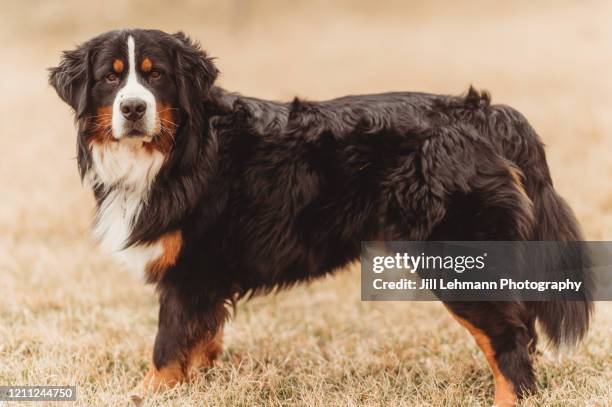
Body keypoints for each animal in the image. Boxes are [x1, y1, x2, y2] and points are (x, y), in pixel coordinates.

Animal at [50, 29, 592, 407]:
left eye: (156, 74)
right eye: (111, 77)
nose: (133, 108)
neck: (176, 150)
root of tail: (481, 113)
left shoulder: (190, 273)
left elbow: (166, 347)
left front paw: (148, 392)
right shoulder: (204, 281)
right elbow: (200, 341)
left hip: (457, 258)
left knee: (509, 341)